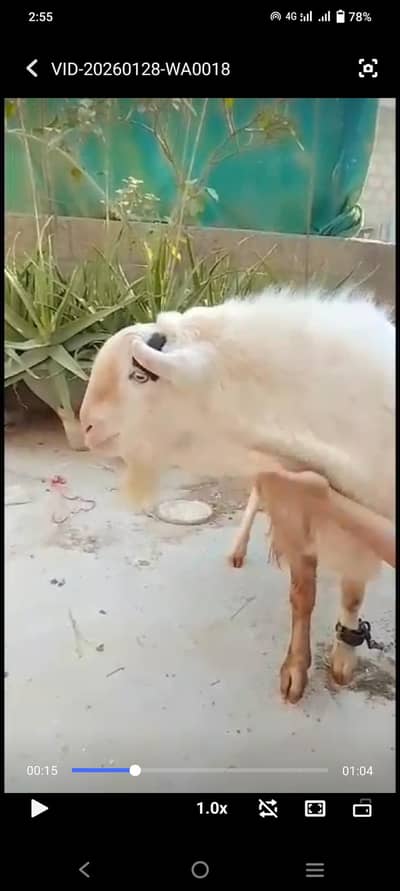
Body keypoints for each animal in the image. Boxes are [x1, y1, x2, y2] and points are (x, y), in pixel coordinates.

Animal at [80, 287, 395, 703]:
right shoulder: (294, 502)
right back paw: (238, 548)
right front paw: (295, 670)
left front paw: (342, 661)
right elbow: (302, 594)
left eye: (140, 375)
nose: (85, 426)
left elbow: (352, 593)